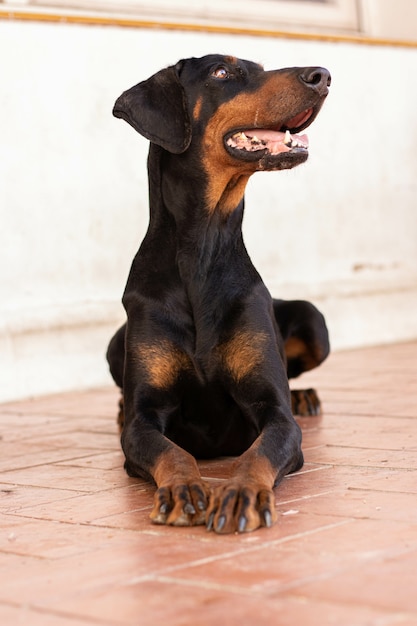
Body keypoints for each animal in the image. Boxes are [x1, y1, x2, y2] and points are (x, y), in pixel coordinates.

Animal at [108, 54, 332, 532]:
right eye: (222, 73)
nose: (322, 76)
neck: (202, 247)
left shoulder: (276, 415)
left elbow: (259, 450)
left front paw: (242, 492)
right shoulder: (142, 423)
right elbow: (170, 451)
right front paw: (182, 488)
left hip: (313, 320)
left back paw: (304, 396)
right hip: (114, 343)